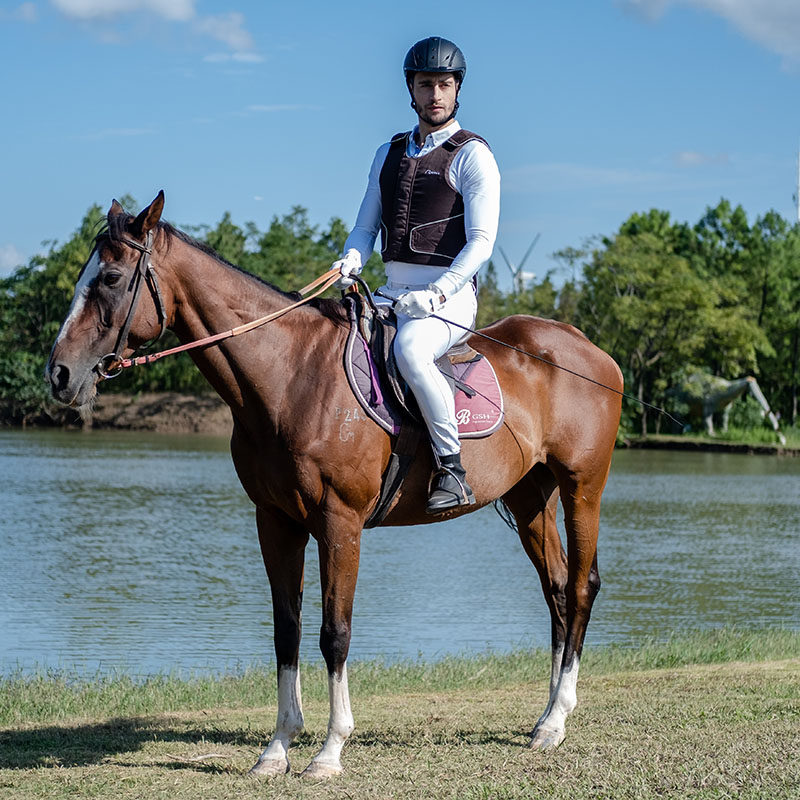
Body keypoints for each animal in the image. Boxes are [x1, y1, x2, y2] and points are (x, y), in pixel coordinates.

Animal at [46, 192, 622, 779]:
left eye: (111, 277)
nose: (60, 374)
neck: (289, 376)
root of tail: (586, 347)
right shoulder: (276, 522)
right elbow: (287, 630)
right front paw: (277, 747)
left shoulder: (339, 523)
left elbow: (334, 633)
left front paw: (329, 749)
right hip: (529, 497)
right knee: (556, 590)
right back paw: (545, 718)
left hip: (581, 490)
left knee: (580, 587)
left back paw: (558, 718)